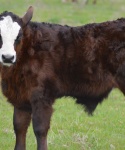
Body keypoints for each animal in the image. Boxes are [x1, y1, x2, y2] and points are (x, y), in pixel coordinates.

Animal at [0, 5, 125, 150]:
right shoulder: (21, 99)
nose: (7, 57)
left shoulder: (42, 97)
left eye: (19, 36)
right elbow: (19, 128)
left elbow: (40, 129)